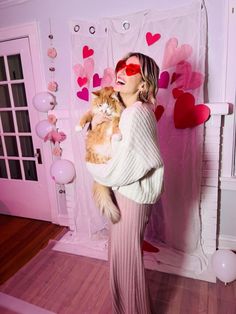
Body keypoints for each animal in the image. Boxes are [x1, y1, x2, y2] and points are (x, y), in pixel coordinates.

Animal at [75, 86, 123, 223]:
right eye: (100, 105)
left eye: (108, 105)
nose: (104, 111)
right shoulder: (93, 113)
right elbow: (85, 116)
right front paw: (78, 127)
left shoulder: (118, 116)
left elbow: (116, 123)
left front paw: (117, 135)